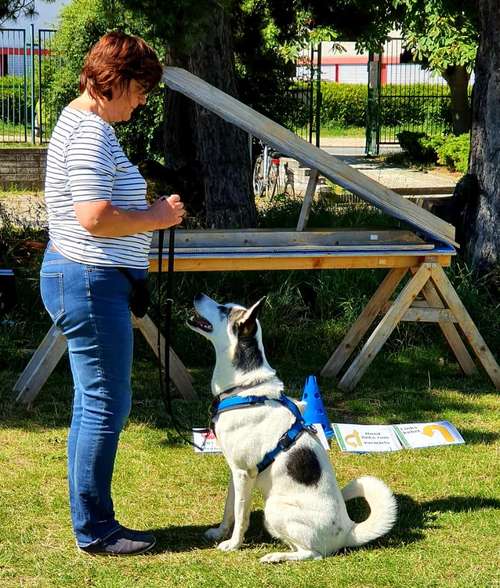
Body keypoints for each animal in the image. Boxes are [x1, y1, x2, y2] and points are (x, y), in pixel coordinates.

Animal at [186, 292, 396, 560]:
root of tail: (349, 530)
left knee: (312, 554)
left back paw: (276, 556)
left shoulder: (244, 473)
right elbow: (229, 509)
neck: (244, 388)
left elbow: (241, 516)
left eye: (224, 310)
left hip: (273, 509)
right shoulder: (235, 471)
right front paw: (220, 533)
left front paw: (234, 544)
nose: (197, 295)